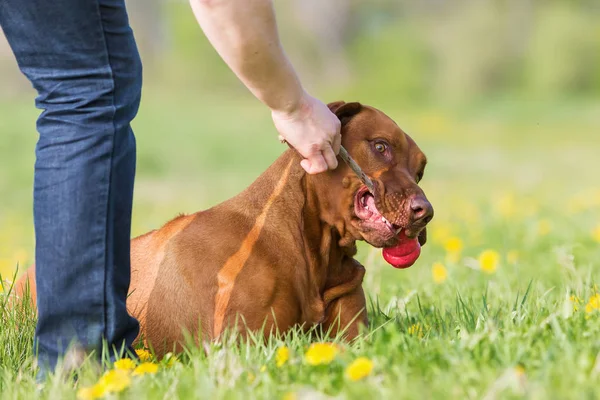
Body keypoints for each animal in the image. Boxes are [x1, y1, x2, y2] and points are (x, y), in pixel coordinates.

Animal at [16, 101, 434, 354]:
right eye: (380, 147)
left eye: (420, 171)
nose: (425, 212)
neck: (311, 249)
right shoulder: (245, 346)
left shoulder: (353, 341)